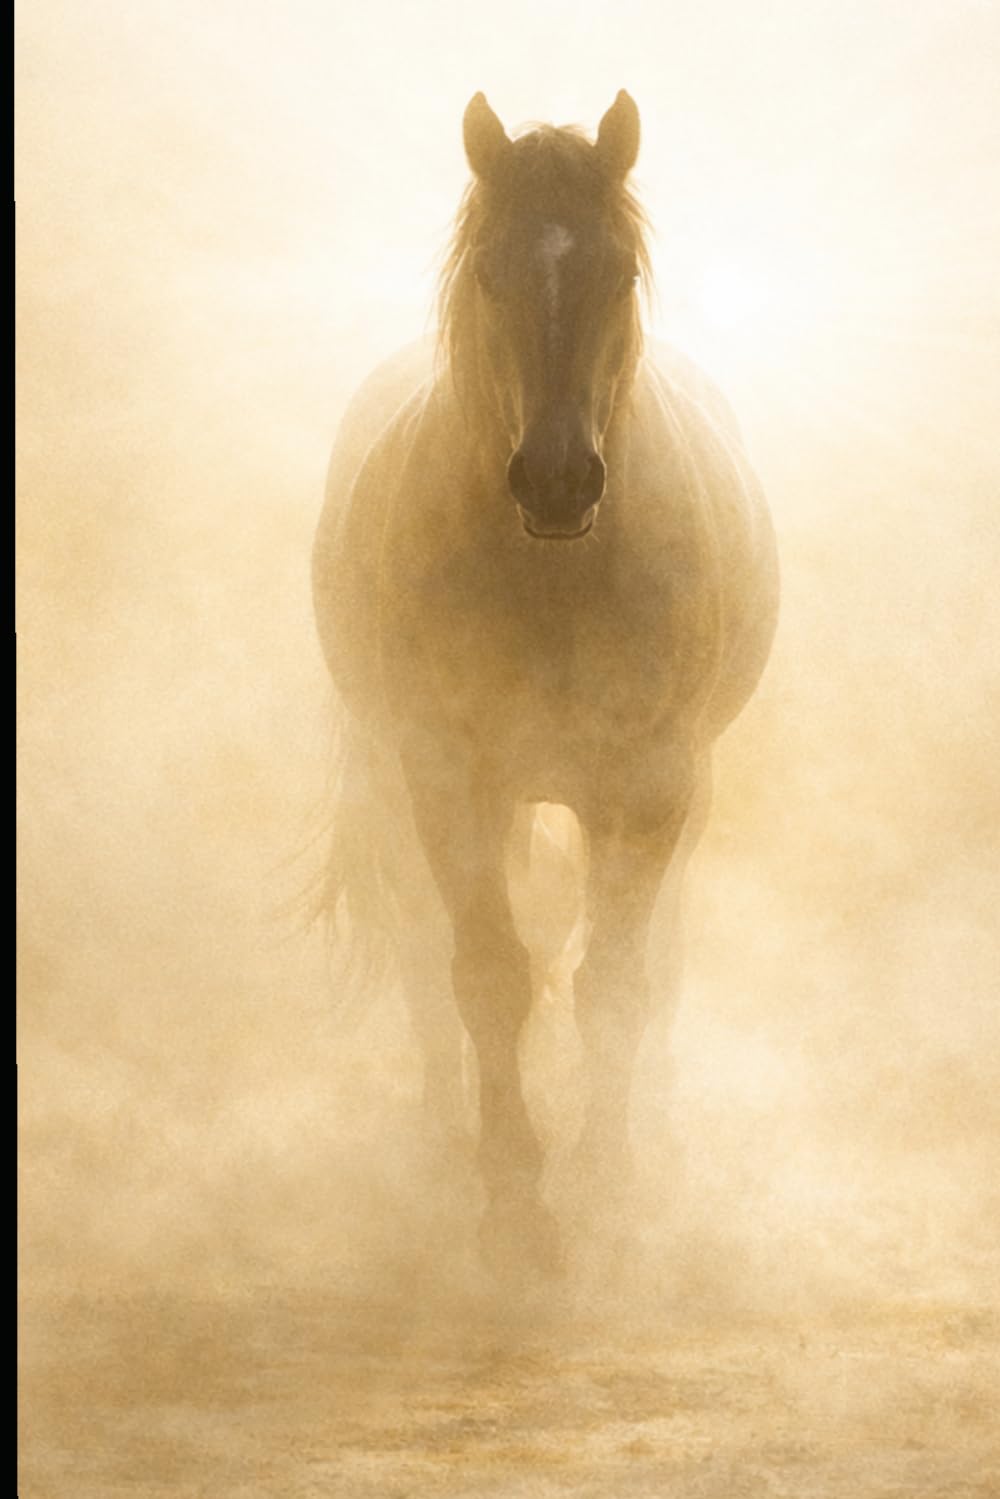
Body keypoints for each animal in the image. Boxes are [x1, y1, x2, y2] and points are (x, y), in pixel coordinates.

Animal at [312, 91, 779, 1276]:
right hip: (400, 779)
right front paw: (514, 1200)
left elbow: (613, 985)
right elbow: (487, 972)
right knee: (424, 949)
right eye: (490, 274)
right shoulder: (449, 776)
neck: (554, 572)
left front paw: (606, 1181)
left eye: (617, 272)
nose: (559, 480)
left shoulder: (650, 785)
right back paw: (440, 1138)